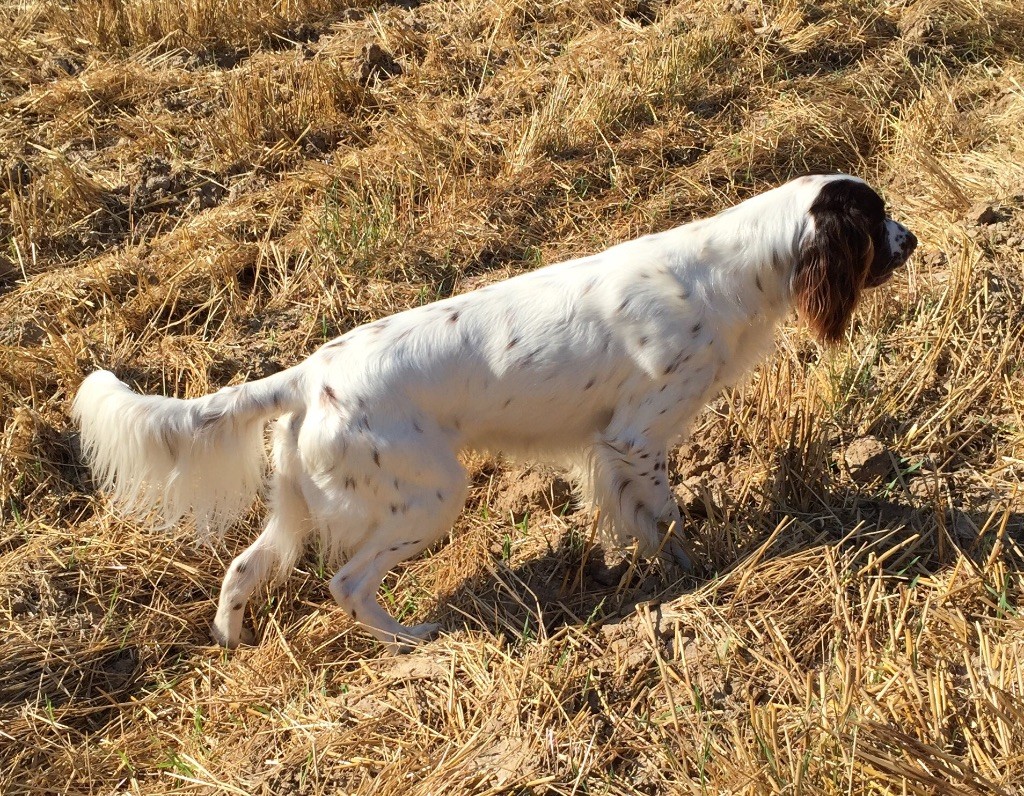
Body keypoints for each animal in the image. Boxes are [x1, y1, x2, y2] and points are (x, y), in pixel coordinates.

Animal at [74, 172, 921, 647]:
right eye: (875, 216)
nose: (912, 238)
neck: (731, 269)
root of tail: (311, 373)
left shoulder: (611, 451)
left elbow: (638, 522)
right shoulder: (635, 436)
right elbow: (669, 519)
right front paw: (701, 573)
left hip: (300, 505)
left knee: (245, 567)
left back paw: (230, 638)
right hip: (430, 494)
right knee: (348, 583)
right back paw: (412, 638)